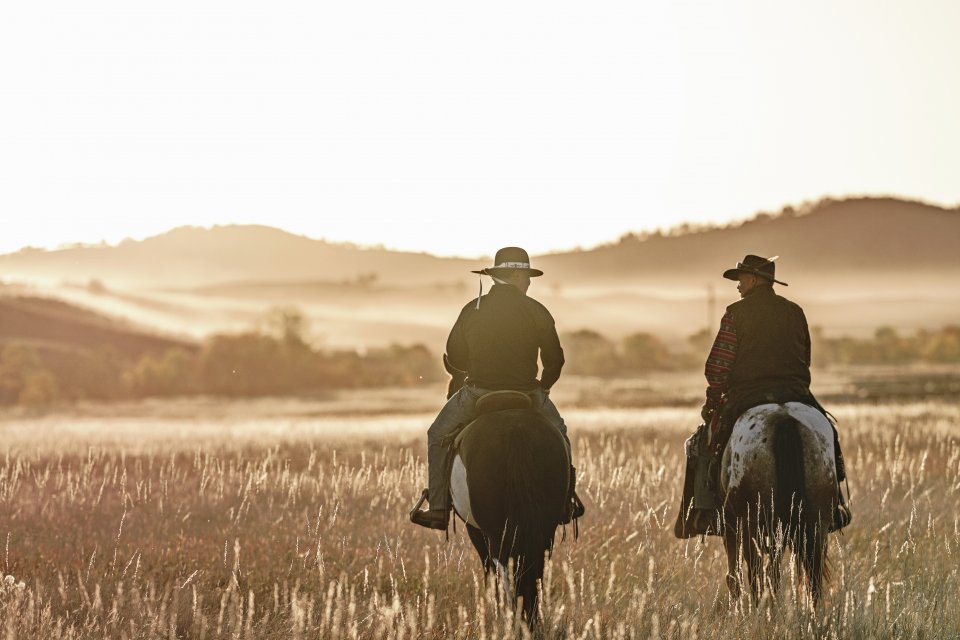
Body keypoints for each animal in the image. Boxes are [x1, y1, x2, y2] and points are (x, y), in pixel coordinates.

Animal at [724, 402, 836, 608]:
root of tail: (784, 418)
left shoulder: (731, 525)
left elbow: (734, 576)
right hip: (818, 522)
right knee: (811, 575)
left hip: (750, 522)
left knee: (756, 573)